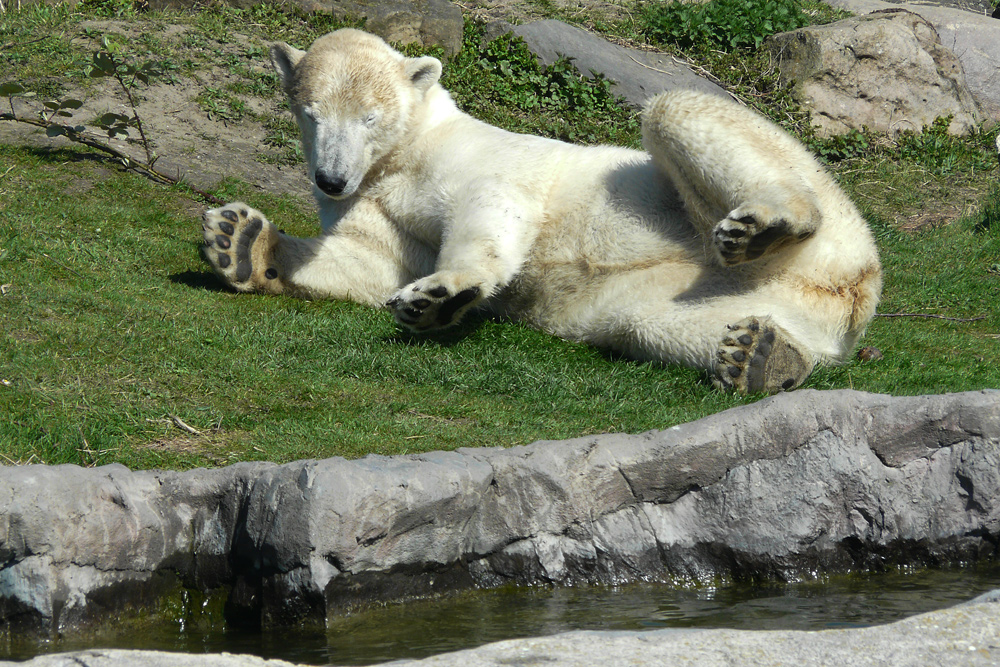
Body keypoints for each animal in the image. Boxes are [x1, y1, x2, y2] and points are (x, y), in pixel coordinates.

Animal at [201, 28, 884, 394]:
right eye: (311, 113)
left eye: (370, 116)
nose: (331, 177)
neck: (407, 151)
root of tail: (847, 293)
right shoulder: (370, 202)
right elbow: (367, 261)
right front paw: (240, 242)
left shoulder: (480, 159)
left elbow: (489, 210)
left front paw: (439, 294)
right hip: (723, 296)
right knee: (653, 323)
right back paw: (763, 357)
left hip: (828, 219)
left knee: (677, 111)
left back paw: (763, 228)